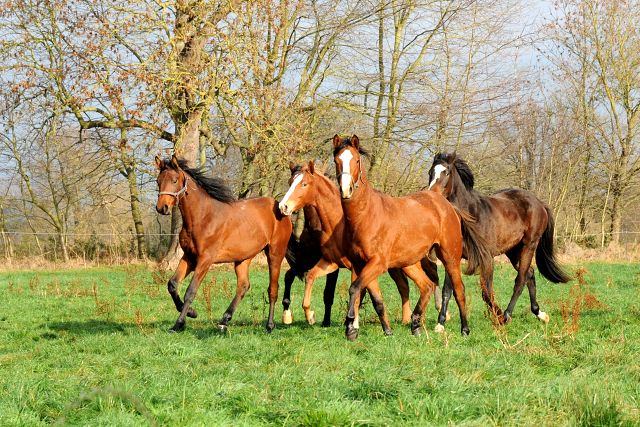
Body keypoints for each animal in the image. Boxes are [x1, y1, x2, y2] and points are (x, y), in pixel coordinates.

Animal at [156, 156, 292, 334]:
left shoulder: (205, 260)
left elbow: (190, 292)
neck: (202, 217)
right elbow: (172, 284)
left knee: (273, 290)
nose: (162, 208)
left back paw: (269, 326)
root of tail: (281, 208)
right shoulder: (189, 257)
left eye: (174, 180)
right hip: (243, 258)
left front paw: (178, 323)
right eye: (158, 181)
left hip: (275, 254)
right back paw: (224, 320)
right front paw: (192, 312)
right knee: (243, 286)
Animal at [278, 160, 448, 328]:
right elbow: (308, 277)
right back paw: (409, 319)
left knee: (428, 280)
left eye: (304, 184)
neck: (335, 224)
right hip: (403, 265)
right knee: (410, 286)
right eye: (290, 181)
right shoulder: (327, 262)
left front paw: (352, 323)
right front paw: (308, 315)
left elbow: (356, 292)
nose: (283, 206)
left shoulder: (353, 266)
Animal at [336, 135, 490, 340]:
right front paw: (383, 330)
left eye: (356, 161)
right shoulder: (360, 264)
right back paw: (415, 324)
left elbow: (355, 288)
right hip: (409, 262)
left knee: (459, 290)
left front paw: (351, 328)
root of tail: (447, 205)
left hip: (450, 256)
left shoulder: (378, 263)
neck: (366, 215)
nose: (346, 190)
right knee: (427, 286)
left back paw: (463, 329)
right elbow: (371, 296)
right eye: (336, 160)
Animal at [430, 152, 568, 326]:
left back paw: (508, 314)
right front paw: (440, 323)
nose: (432, 194)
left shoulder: (487, 259)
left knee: (520, 280)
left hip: (529, 246)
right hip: (514, 251)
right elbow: (448, 290)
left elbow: (486, 293)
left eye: (446, 172)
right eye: (430, 172)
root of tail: (539, 203)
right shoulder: (452, 256)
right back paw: (539, 313)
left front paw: (500, 316)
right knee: (529, 274)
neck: (470, 216)